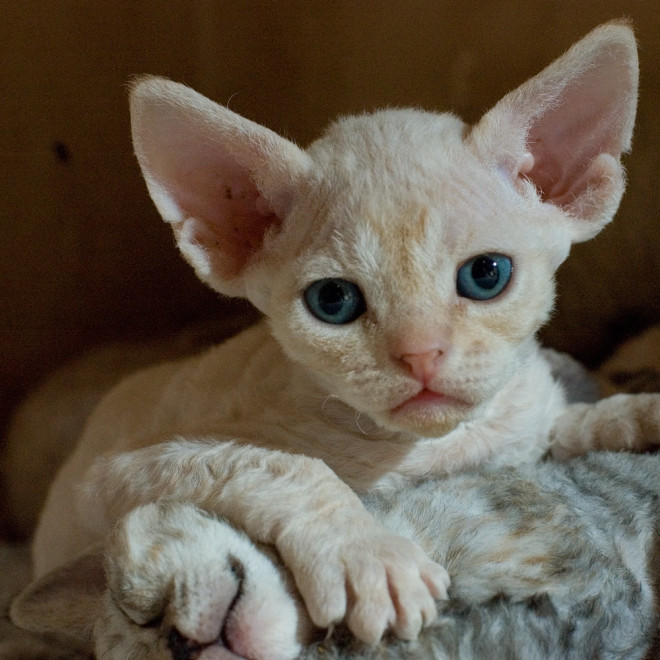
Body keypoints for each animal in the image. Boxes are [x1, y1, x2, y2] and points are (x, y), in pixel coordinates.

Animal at [20, 18, 660, 656]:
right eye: (334, 301)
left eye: (486, 275)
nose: (421, 355)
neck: (434, 451)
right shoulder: (111, 474)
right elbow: (277, 464)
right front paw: (367, 555)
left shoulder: (523, 425)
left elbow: (563, 422)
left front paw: (632, 414)